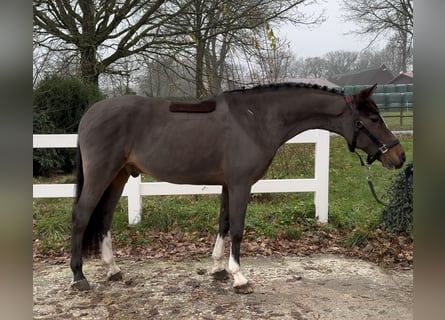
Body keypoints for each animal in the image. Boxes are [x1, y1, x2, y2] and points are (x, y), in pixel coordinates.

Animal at [68, 84, 402, 294]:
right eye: (373, 118)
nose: (399, 156)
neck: (255, 119)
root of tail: (89, 115)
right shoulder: (242, 184)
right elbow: (239, 229)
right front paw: (240, 278)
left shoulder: (228, 185)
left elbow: (224, 223)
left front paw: (218, 269)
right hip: (102, 174)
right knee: (82, 217)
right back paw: (79, 277)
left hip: (119, 176)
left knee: (105, 218)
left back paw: (113, 270)